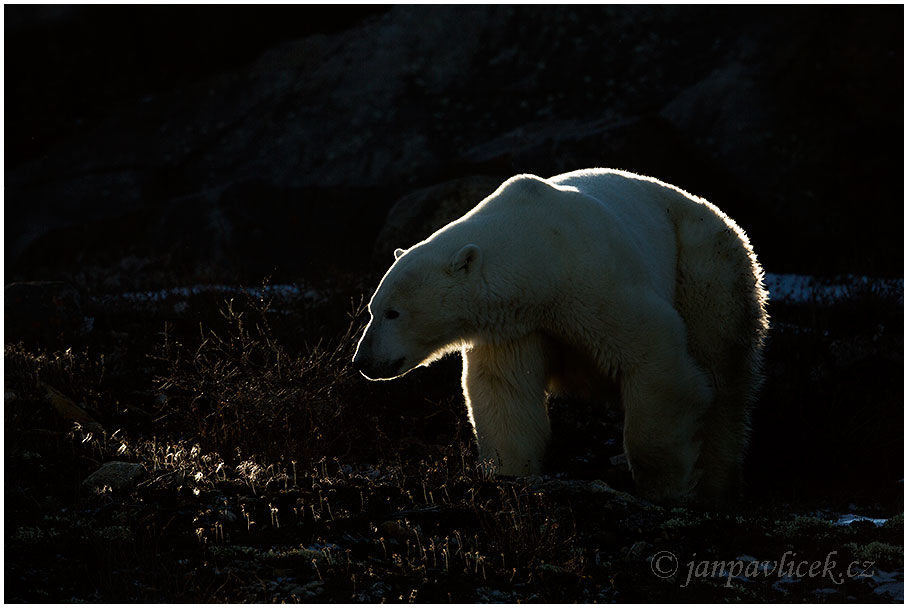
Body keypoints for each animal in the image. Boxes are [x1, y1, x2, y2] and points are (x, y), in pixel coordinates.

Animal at [352, 167, 768, 504]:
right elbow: (505, 392)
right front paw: (508, 473)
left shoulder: (597, 282)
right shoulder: (515, 325)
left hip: (706, 267)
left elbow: (658, 361)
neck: (539, 255)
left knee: (724, 376)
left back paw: (717, 485)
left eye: (393, 312)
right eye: (371, 309)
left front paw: (668, 489)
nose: (363, 361)